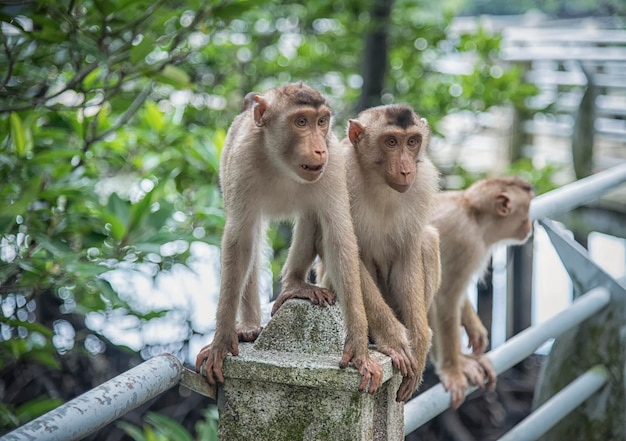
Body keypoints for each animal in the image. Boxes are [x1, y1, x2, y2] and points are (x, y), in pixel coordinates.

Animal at [194, 82, 380, 392]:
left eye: (321, 122)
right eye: (301, 122)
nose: (318, 149)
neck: (282, 164)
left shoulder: (333, 163)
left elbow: (339, 238)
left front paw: (359, 349)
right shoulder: (242, 161)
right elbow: (239, 242)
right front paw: (220, 342)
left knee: (311, 215)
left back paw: (296, 284)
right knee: (252, 238)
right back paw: (249, 325)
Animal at [272, 104, 438, 402]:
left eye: (412, 141)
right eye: (391, 142)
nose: (406, 169)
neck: (379, 181)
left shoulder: (423, 185)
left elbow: (407, 253)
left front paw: (419, 343)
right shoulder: (339, 175)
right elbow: (345, 251)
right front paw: (394, 338)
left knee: (428, 240)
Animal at [428, 174, 532, 408]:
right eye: (528, 210)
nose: (530, 225)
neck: (474, 215)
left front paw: (475, 328)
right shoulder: (465, 243)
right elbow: (446, 298)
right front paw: (452, 370)